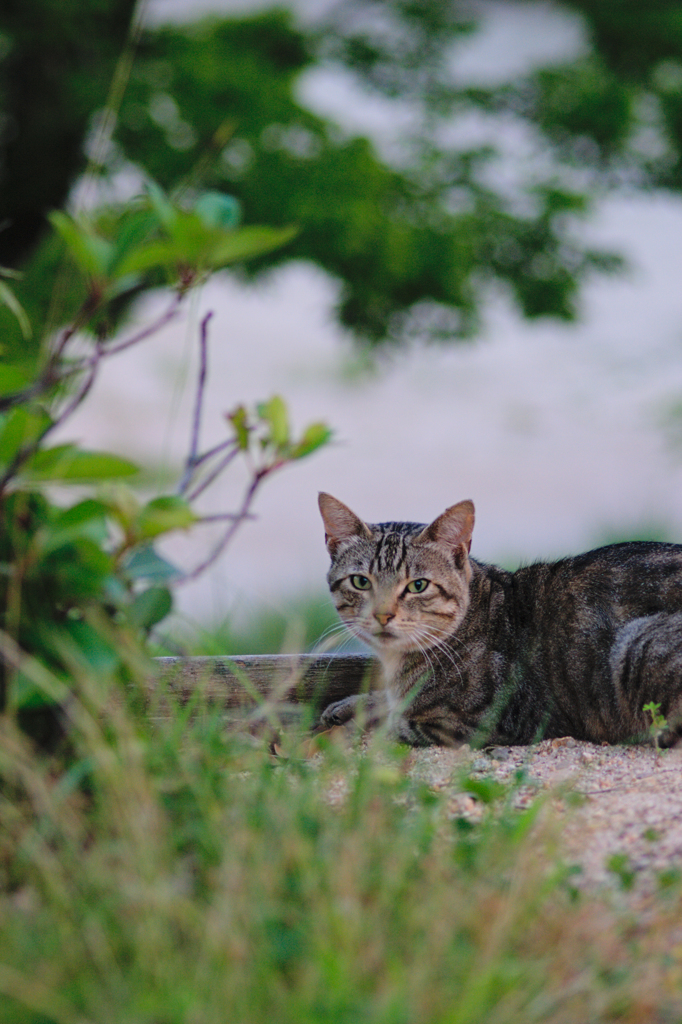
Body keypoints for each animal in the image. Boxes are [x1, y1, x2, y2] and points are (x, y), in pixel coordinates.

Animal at [317, 491, 682, 749]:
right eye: (360, 582)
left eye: (417, 586)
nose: (383, 614)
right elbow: (387, 704)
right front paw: (352, 705)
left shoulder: (490, 722)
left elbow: (393, 725)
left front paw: (347, 731)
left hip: (639, 645)